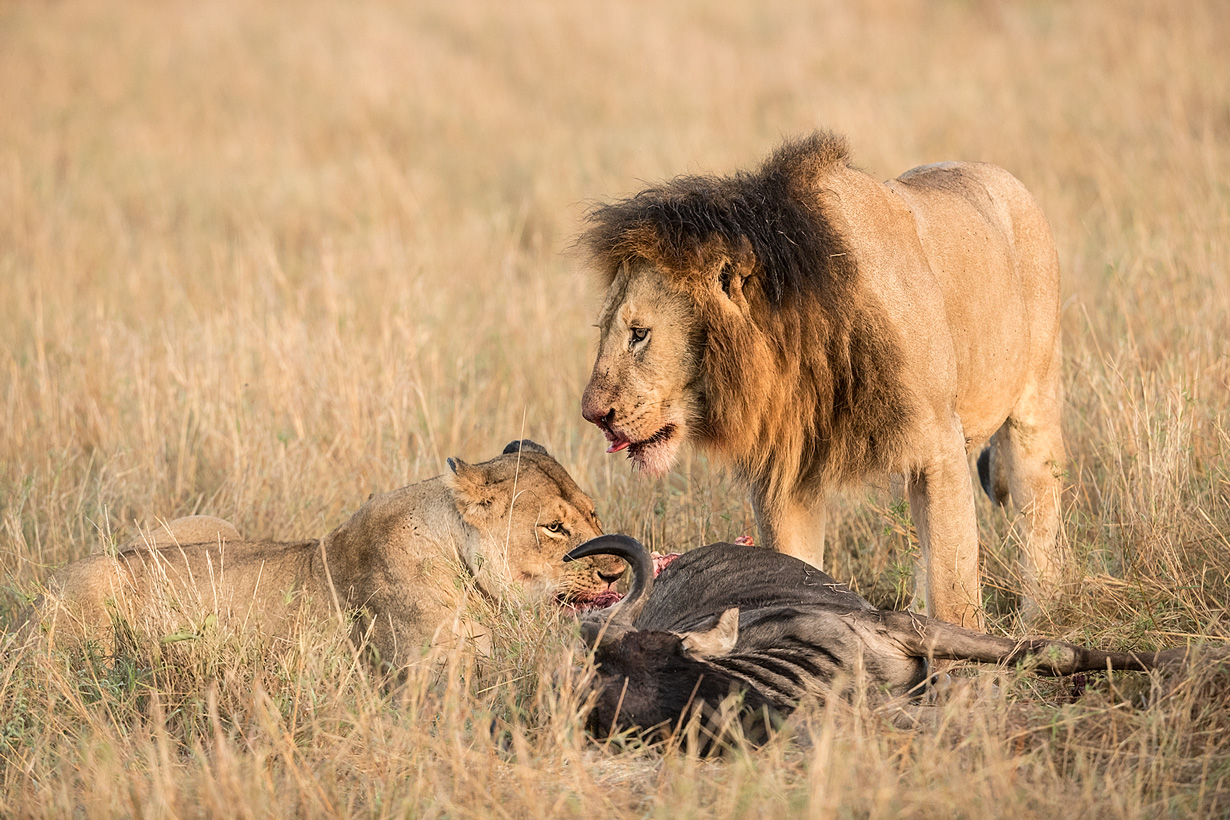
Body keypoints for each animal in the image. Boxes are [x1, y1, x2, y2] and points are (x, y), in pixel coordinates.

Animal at [580, 133, 1062, 629]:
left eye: (639, 334)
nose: (594, 415)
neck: (795, 341)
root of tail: (995, 172)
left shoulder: (939, 448)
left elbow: (953, 583)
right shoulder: (787, 473)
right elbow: (793, 561)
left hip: (1033, 405)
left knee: (1038, 511)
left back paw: (1040, 617)